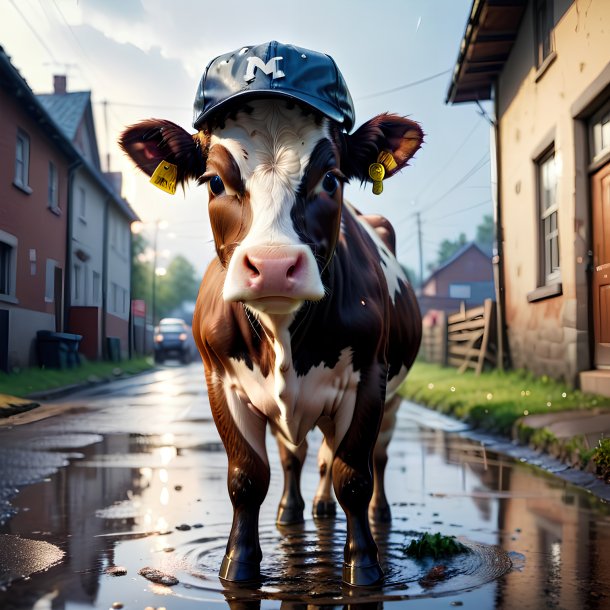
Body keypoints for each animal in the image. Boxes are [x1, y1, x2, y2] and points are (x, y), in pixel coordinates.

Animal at [118, 40, 418, 588]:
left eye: (331, 178)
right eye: (215, 181)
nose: (275, 266)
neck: (282, 335)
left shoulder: (370, 377)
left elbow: (354, 474)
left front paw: (363, 567)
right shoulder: (222, 381)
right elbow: (247, 476)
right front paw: (238, 566)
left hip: (394, 397)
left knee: (374, 457)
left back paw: (372, 515)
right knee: (298, 457)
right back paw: (296, 511)